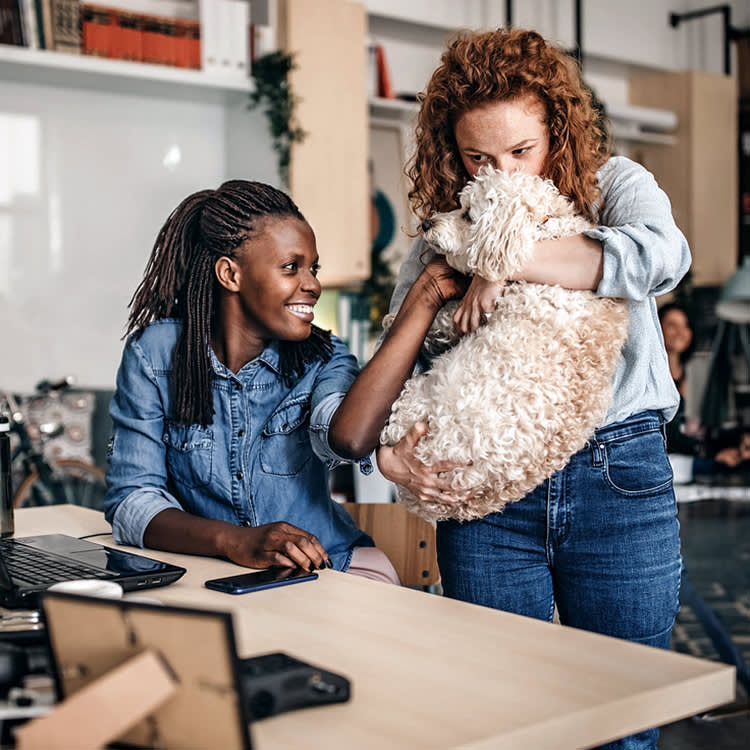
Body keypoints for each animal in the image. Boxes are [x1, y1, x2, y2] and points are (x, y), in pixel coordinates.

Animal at [378, 170, 632, 524]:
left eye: (468, 215)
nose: (427, 223)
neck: (541, 230)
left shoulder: (490, 303)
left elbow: (448, 316)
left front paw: (394, 319)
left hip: (416, 398)